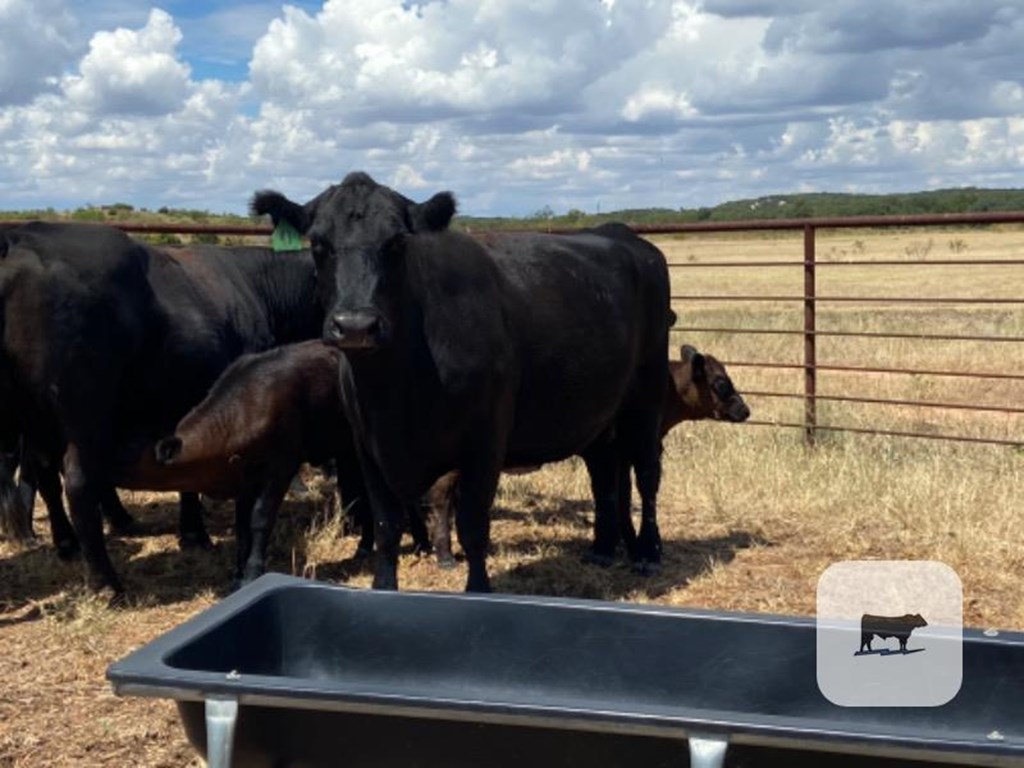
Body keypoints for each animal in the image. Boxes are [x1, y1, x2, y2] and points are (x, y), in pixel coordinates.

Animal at [0, 222, 317, 593]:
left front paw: (192, 532)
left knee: (44, 473)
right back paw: (107, 581)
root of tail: (19, 239)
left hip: (34, 418)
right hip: (83, 414)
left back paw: (68, 544)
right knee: (77, 483)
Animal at [252, 171, 671, 593]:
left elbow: (472, 526)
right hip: (599, 411)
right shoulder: (367, 445)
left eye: (397, 242)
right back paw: (602, 548)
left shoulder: (486, 441)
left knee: (647, 471)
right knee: (603, 470)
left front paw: (478, 591)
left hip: (647, 393)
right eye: (318, 244)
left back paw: (649, 553)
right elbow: (387, 527)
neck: (394, 393)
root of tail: (624, 236)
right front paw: (384, 588)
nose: (356, 325)